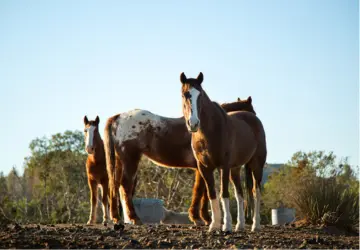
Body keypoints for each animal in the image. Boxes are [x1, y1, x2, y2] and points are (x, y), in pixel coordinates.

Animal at [104, 98, 256, 227]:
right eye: (252, 113)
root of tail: (118, 118)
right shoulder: (201, 168)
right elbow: (201, 190)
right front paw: (200, 218)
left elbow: (203, 191)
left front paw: (202, 218)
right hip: (130, 160)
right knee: (125, 185)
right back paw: (134, 218)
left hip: (120, 162)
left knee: (115, 185)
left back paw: (117, 218)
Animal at [180, 72, 268, 232]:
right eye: (184, 94)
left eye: (200, 95)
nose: (193, 123)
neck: (209, 131)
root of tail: (254, 120)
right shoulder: (204, 168)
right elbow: (212, 194)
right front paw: (214, 225)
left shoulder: (223, 166)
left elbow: (224, 194)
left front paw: (226, 226)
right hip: (235, 169)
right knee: (240, 194)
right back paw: (240, 225)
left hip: (256, 165)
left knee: (256, 192)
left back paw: (255, 225)